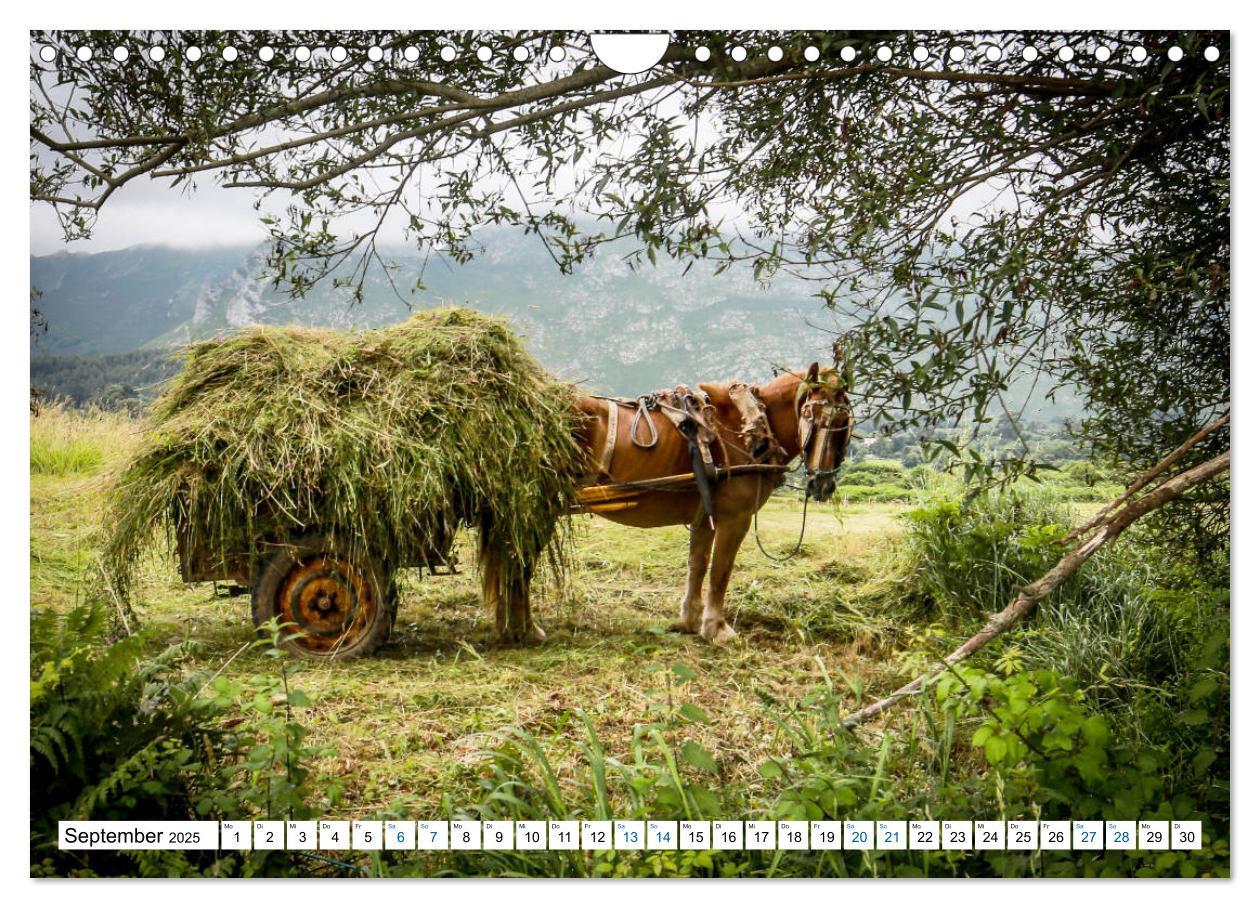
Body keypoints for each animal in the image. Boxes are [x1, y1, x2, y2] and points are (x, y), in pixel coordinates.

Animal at [476, 360, 851, 644]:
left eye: (845, 423)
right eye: (815, 415)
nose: (823, 483)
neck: (746, 426)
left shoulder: (704, 517)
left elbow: (697, 565)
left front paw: (690, 620)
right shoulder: (735, 518)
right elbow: (721, 571)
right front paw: (717, 628)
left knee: (514, 561)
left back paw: (514, 626)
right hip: (539, 508)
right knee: (520, 564)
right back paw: (524, 628)